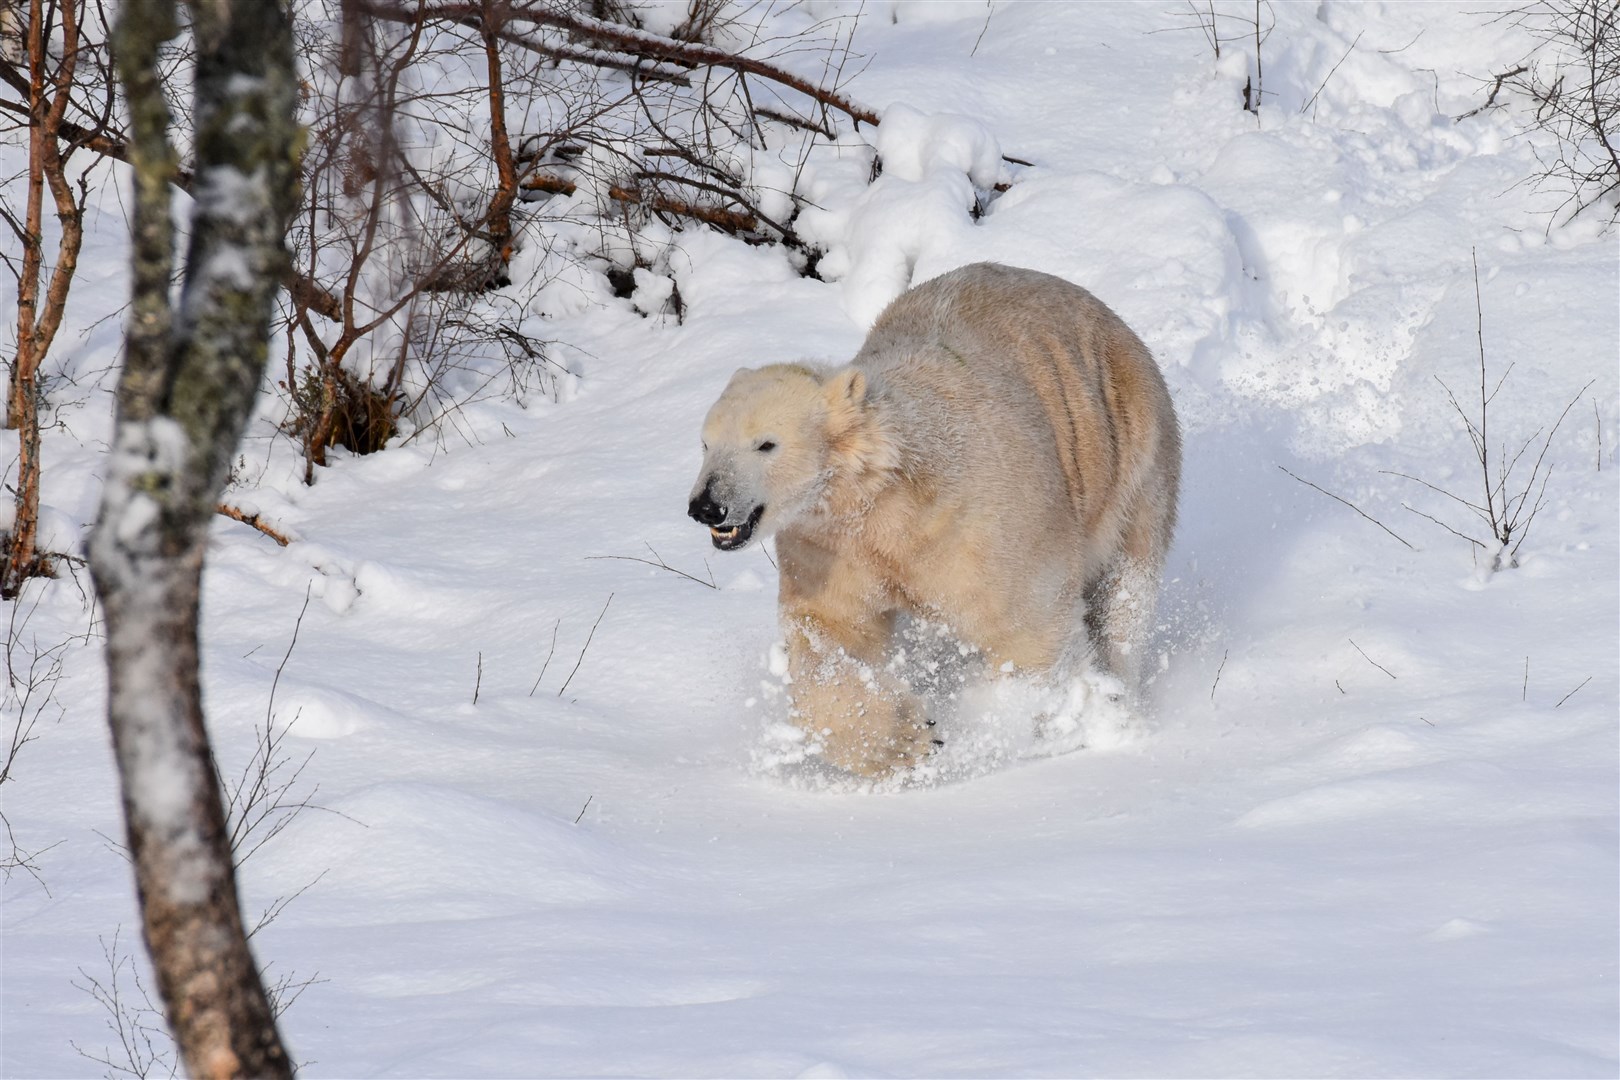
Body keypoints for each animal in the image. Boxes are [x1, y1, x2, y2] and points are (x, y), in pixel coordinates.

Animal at [683, 267, 1179, 780]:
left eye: (766, 444)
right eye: (706, 443)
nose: (707, 506)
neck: (887, 494)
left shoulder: (983, 523)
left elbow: (1026, 623)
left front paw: (987, 728)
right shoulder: (829, 542)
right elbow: (831, 631)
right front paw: (909, 737)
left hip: (1127, 441)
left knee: (1126, 591)